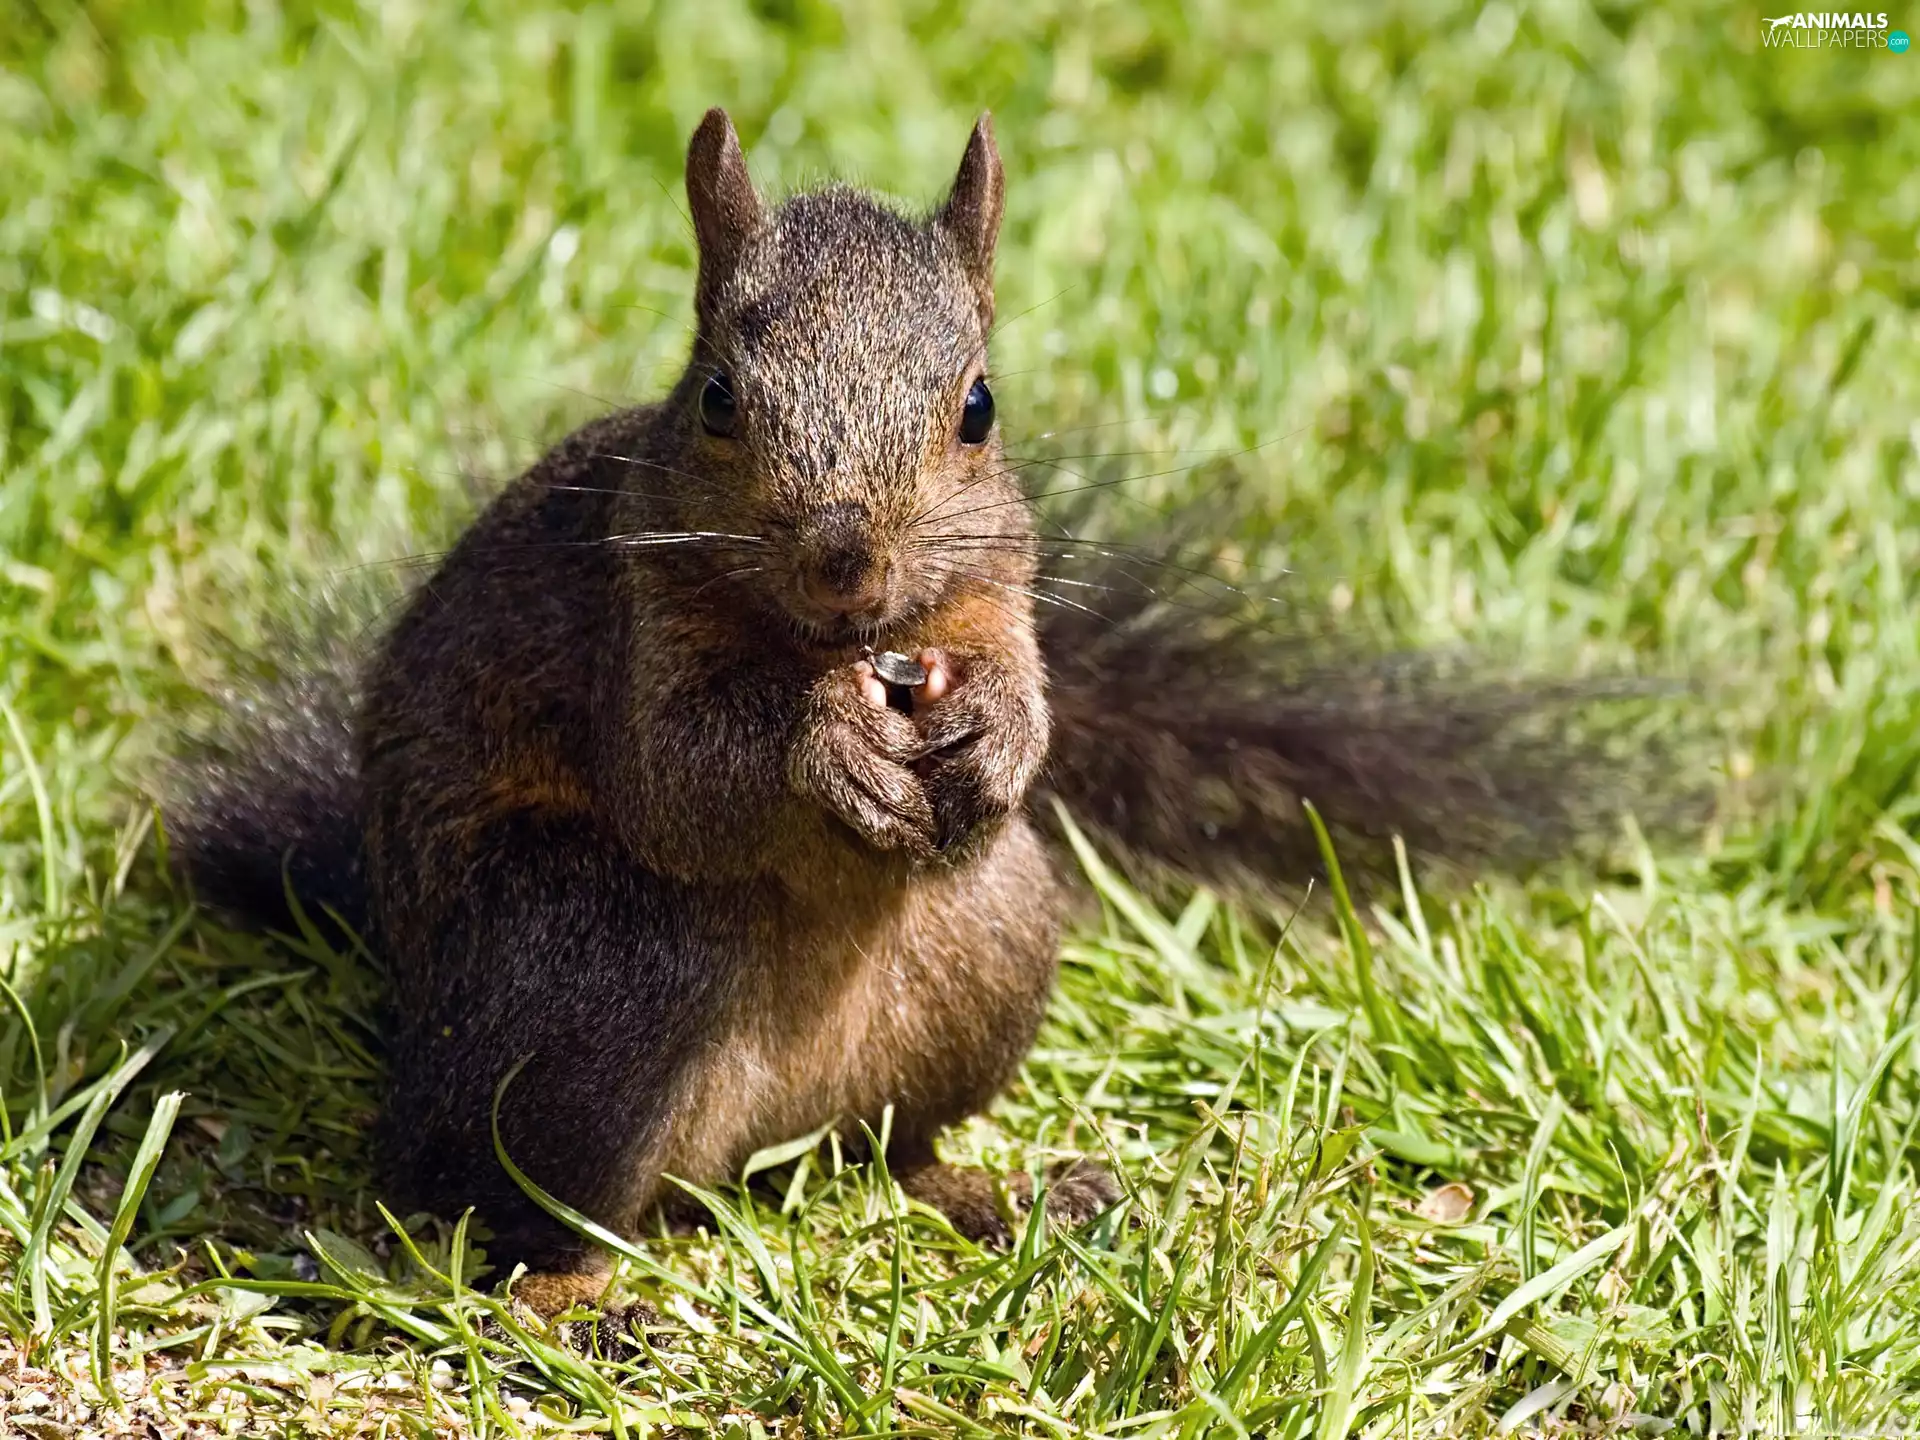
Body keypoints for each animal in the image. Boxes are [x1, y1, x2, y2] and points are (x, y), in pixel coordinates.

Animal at [168, 109, 1684, 1320]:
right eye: (717, 399)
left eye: (980, 407)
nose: (849, 557)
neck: (834, 643)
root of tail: (738, 1159)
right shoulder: (625, 624)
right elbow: (678, 779)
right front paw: (823, 746)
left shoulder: (998, 588)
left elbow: (1026, 697)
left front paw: (999, 733)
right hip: (583, 968)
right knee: (501, 1210)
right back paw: (580, 1298)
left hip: (989, 940)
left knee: (887, 1154)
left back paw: (996, 1193)